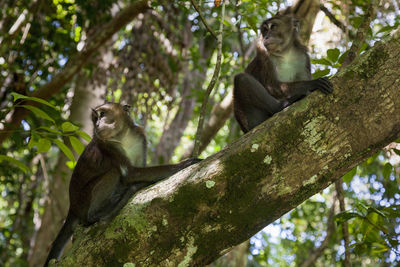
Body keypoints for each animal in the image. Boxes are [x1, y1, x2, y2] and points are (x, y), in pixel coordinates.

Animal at [44, 102, 200, 266]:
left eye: (102, 114)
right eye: (94, 119)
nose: (97, 124)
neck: (123, 136)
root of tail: (72, 207)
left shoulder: (140, 136)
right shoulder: (106, 146)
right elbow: (130, 174)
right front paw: (183, 164)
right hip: (83, 200)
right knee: (114, 173)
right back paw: (100, 212)